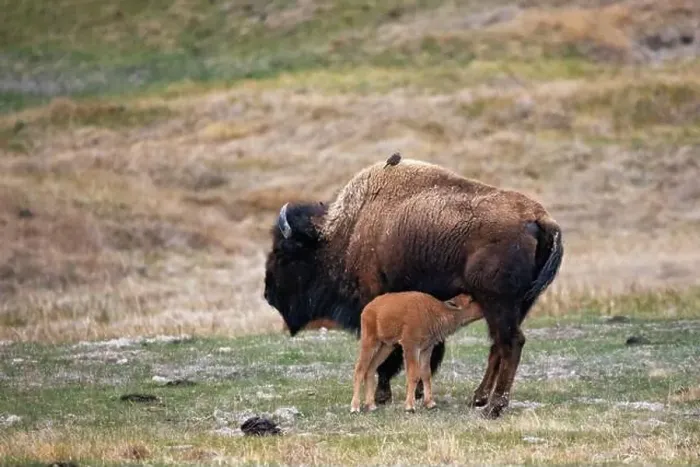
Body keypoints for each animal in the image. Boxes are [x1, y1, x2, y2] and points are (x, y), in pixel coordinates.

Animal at [263, 156, 563, 418]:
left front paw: (384, 395)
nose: (268, 294)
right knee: (498, 346)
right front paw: (418, 393)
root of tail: (540, 218)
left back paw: (493, 407)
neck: (347, 232)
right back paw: (478, 398)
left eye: (283, 253)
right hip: (515, 305)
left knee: (511, 343)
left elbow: (391, 357)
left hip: (499, 303)